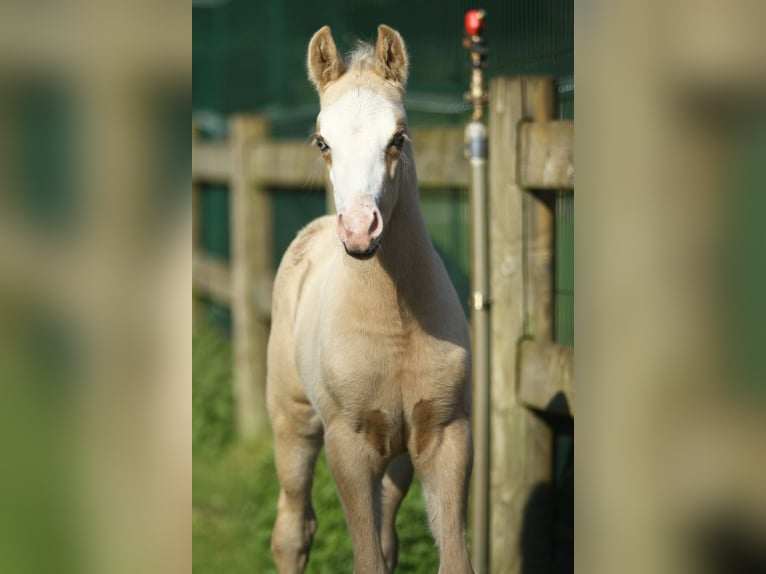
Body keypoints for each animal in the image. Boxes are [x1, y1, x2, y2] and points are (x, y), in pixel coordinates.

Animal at [268, 25, 474, 574]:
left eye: (399, 137)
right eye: (322, 142)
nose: (360, 230)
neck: (395, 324)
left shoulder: (446, 435)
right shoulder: (348, 445)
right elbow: (365, 558)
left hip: (397, 457)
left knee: (386, 535)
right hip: (294, 420)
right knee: (293, 529)